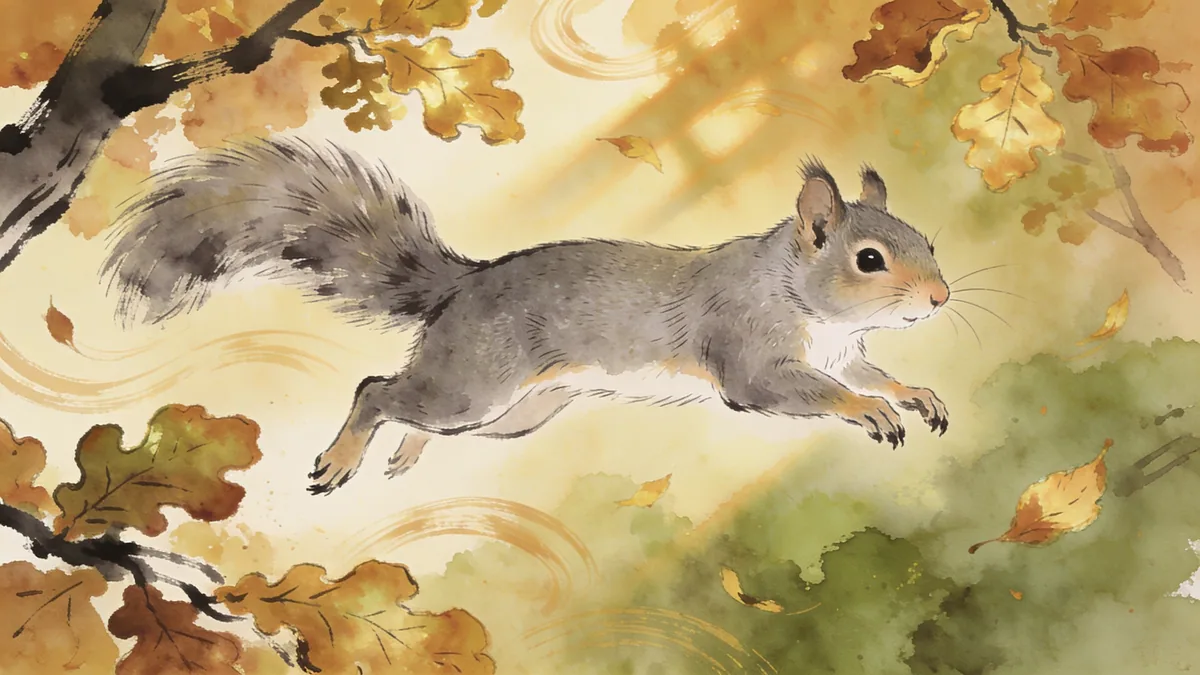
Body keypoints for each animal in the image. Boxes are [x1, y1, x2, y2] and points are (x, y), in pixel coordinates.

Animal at [102, 136, 951, 495]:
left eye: (930, 241)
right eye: (868, 259)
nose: (942, 300)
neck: (806, 301)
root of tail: (462, 289)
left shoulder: (846, 349)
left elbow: (875, 371)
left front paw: (914, 393)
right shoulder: (748, 351)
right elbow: (804, 390)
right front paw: (869, 410)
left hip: (516, 414)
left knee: (412, 408)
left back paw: (406, 450)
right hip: (476, 383)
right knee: (378, 389)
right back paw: (342, 457)